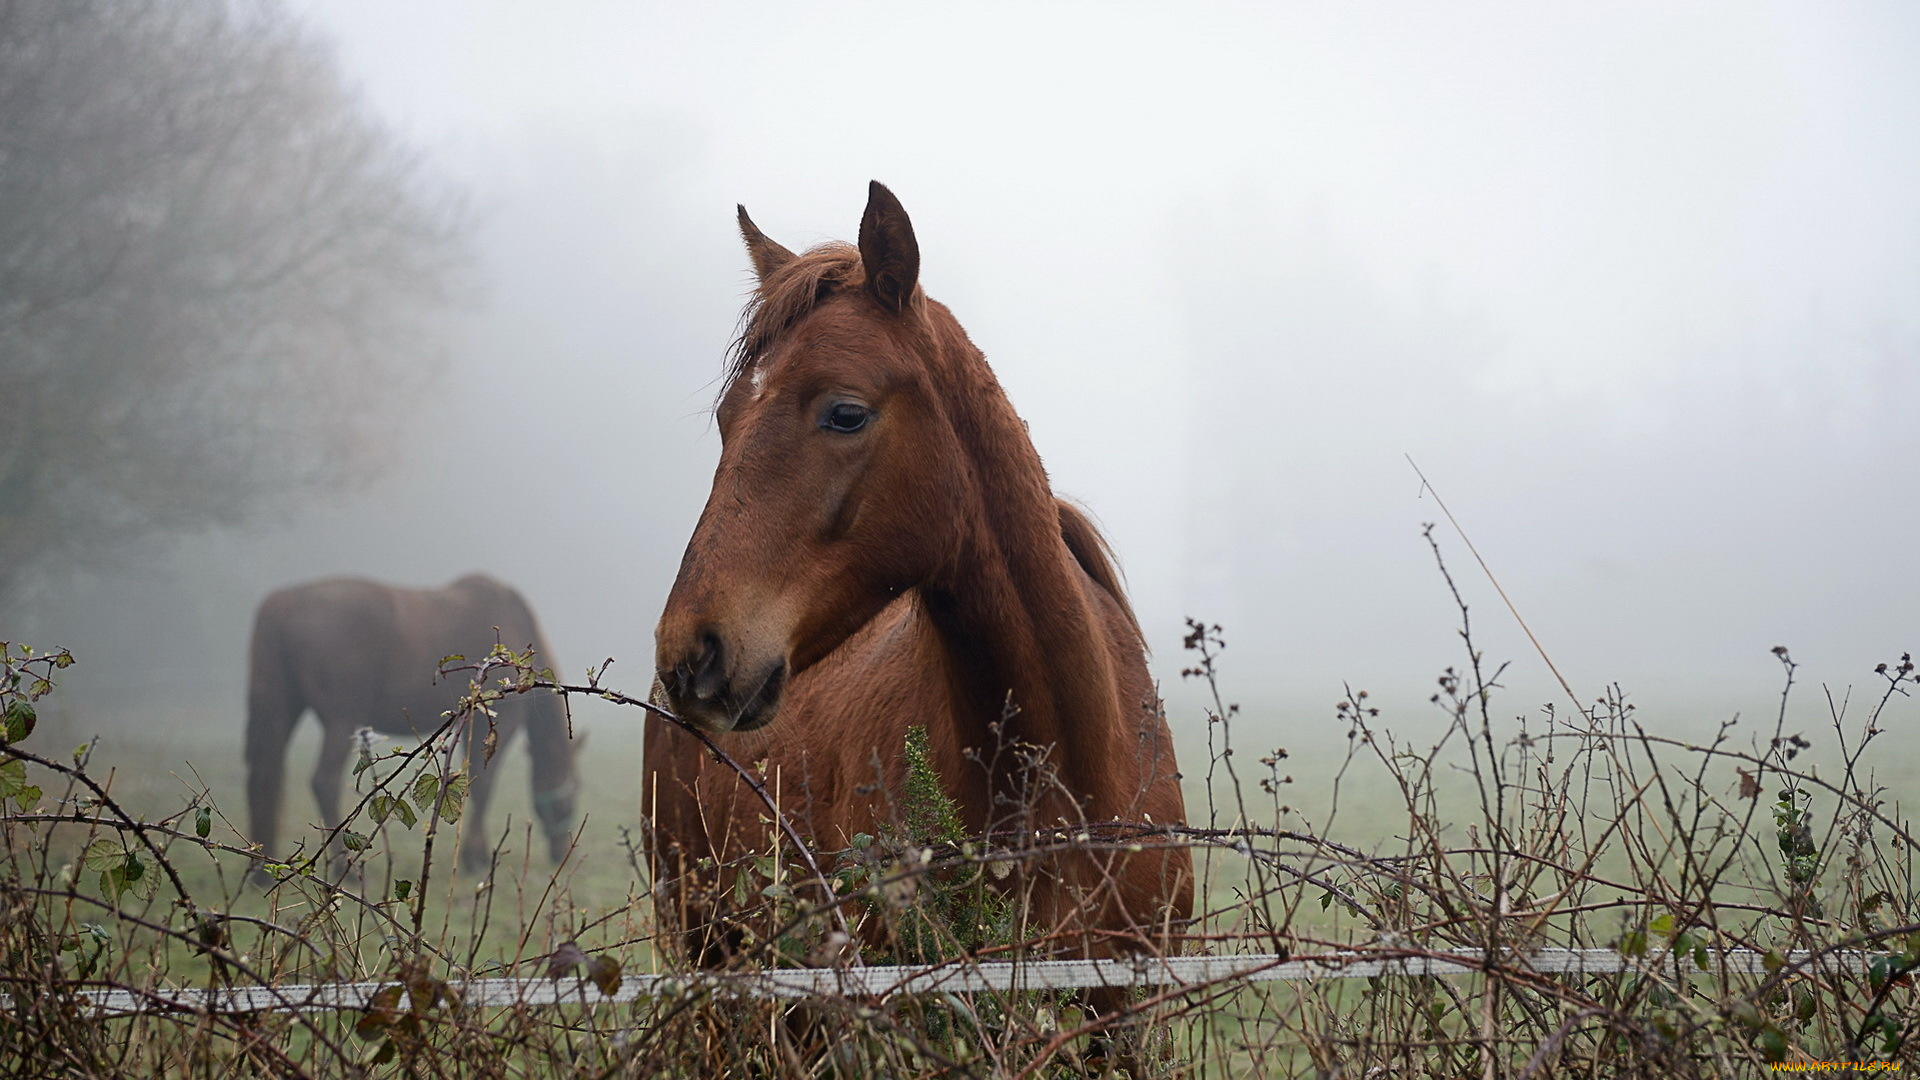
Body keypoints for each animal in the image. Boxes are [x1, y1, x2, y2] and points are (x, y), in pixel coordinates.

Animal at [243, 572, 579, 864]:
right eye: (574, 787)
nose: (561, 851)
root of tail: (284, 602)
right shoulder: (500, 722)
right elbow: (483, 786)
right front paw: (475, 856)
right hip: (341, 720)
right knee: (324, 781)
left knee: (262, 776)